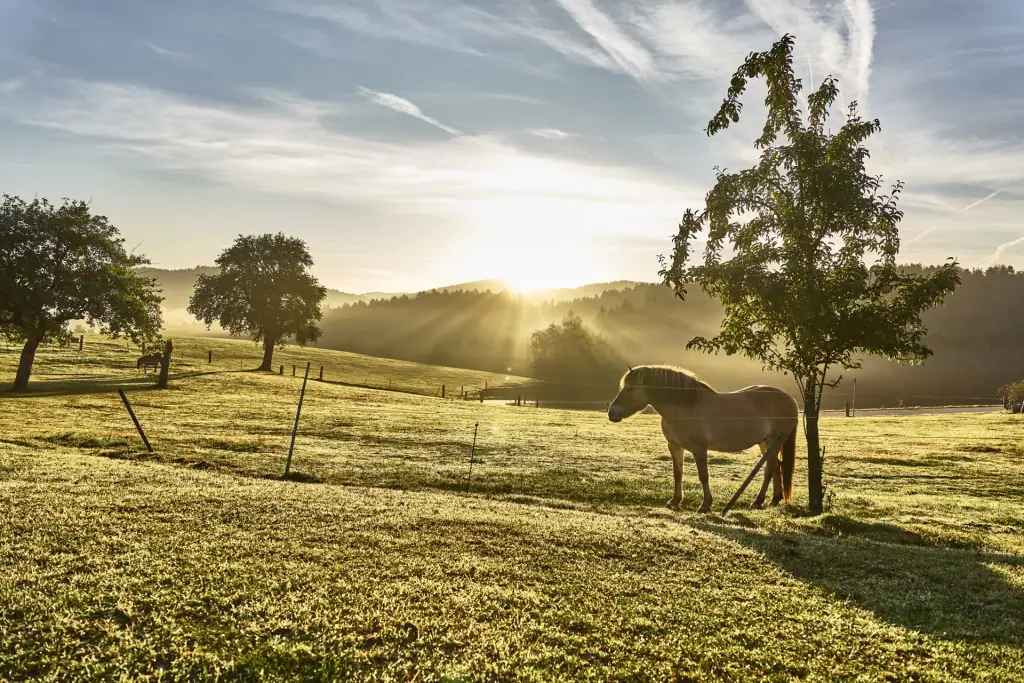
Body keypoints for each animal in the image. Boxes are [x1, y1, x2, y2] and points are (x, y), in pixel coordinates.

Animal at [607, 365, 798, 513]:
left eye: (630, 388)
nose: (612, 413)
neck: (684, 408)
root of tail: (790, 400)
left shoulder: (699, 448)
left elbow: (703, 475)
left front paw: (705, 505)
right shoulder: (674, 446)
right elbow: (678, 473)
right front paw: (674, 501)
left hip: (774, 440)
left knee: (769, 468)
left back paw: (758, 501)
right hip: (766, 442)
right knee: (776, 467)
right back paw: (774, 499)